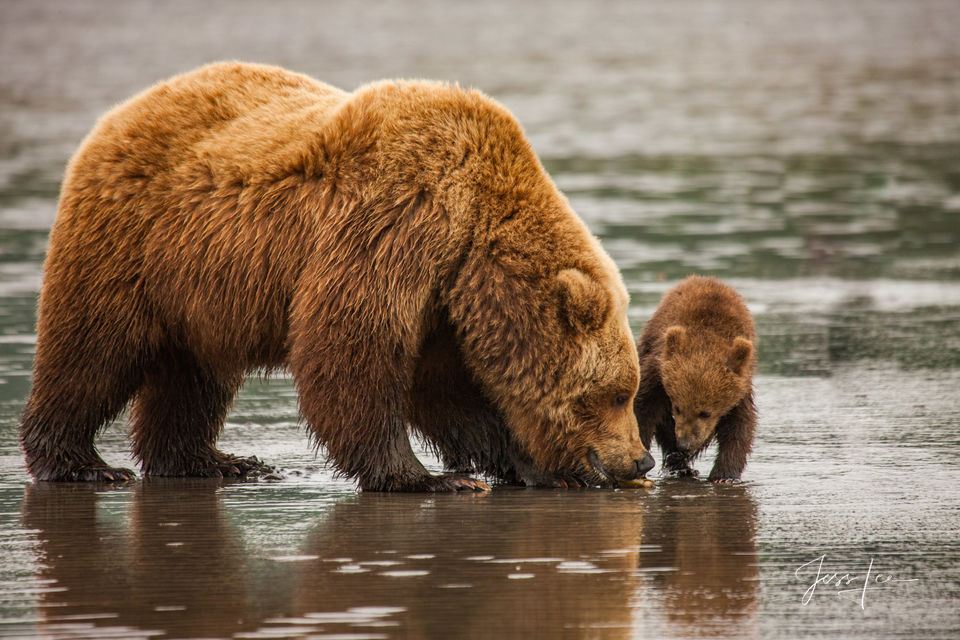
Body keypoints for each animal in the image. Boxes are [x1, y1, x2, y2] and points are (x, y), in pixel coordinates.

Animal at [22, 62, 656, 490]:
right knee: (92, 352)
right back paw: (83, 463)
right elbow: (352, 353)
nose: (640, 459)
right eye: (615, 393)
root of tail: (119, 114)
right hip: (130, 247)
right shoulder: (394, 226)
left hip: (200, 287)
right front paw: (431, 477)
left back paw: (219, 461)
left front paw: (542, 467)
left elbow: (446, 390)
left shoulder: (441, 301)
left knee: (196, 376)